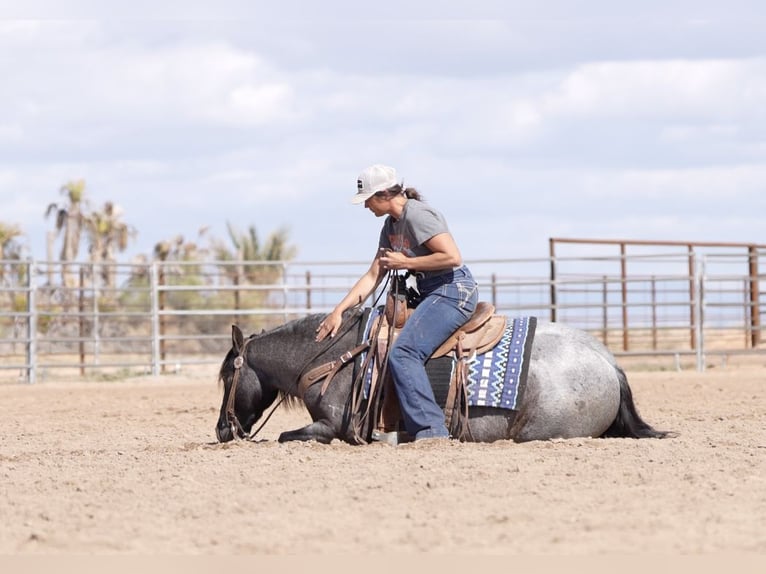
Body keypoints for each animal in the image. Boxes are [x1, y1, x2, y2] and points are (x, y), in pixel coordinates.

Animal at [215, 307, 672, 444]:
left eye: (226, 380)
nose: (222, 429)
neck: (336, 357)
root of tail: (609, 362)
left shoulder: (334, 426)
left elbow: (287, 436)